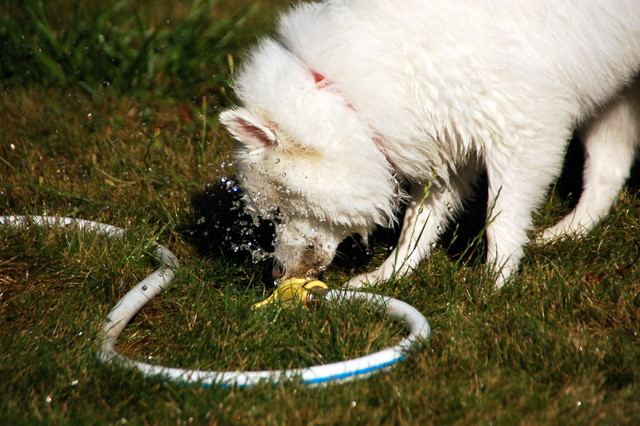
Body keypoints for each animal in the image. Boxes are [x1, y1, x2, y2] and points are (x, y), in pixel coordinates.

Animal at [220, 0, 640, 288]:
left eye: (277, 212)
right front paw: (387, 276)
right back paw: (570, 231)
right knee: (609, 168)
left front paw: (495, 284)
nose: (277, 275)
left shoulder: (523, 131)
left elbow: (500, 219)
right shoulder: (442, 149)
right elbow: (418, 227)